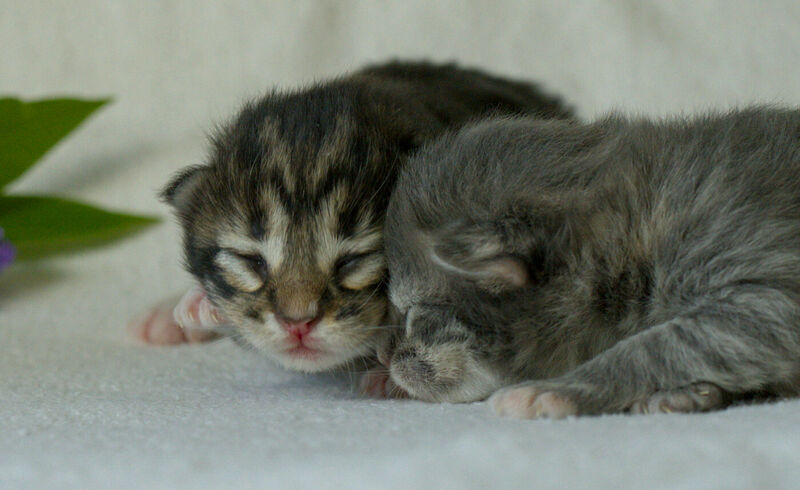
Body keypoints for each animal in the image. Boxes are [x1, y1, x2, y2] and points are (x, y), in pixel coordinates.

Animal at [384, 108, 800, 418]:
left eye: (412, 314)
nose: (387, 358)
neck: (634, 225)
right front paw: (692, 394)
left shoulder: (767, 293)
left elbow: (654, 346)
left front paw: (557, 389)